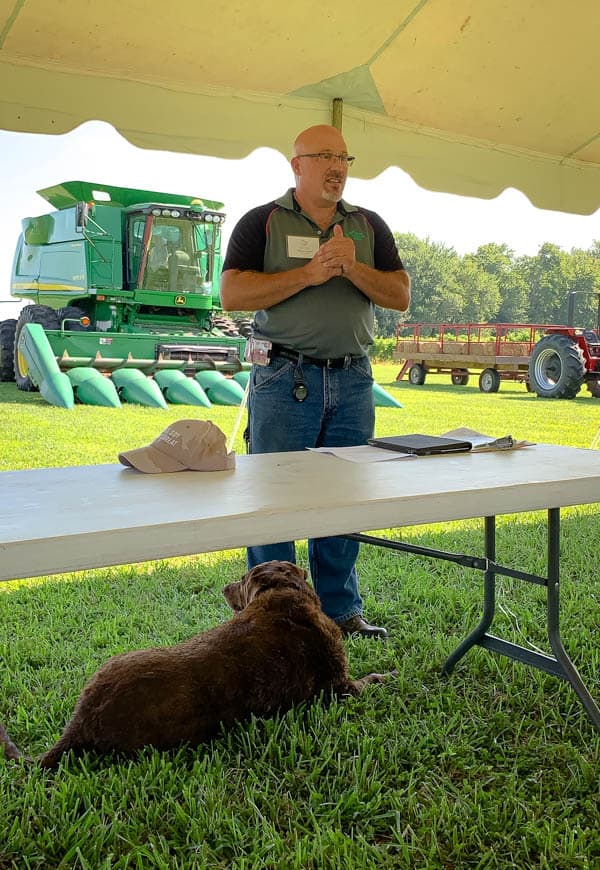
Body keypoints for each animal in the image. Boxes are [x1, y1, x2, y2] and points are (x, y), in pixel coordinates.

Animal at [1, 564, 394, 768]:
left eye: (240, 581)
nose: (223, 586)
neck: (281, 596)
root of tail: (82, 718)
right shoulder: (341, 687)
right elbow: (374, 678)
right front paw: (390, 675)